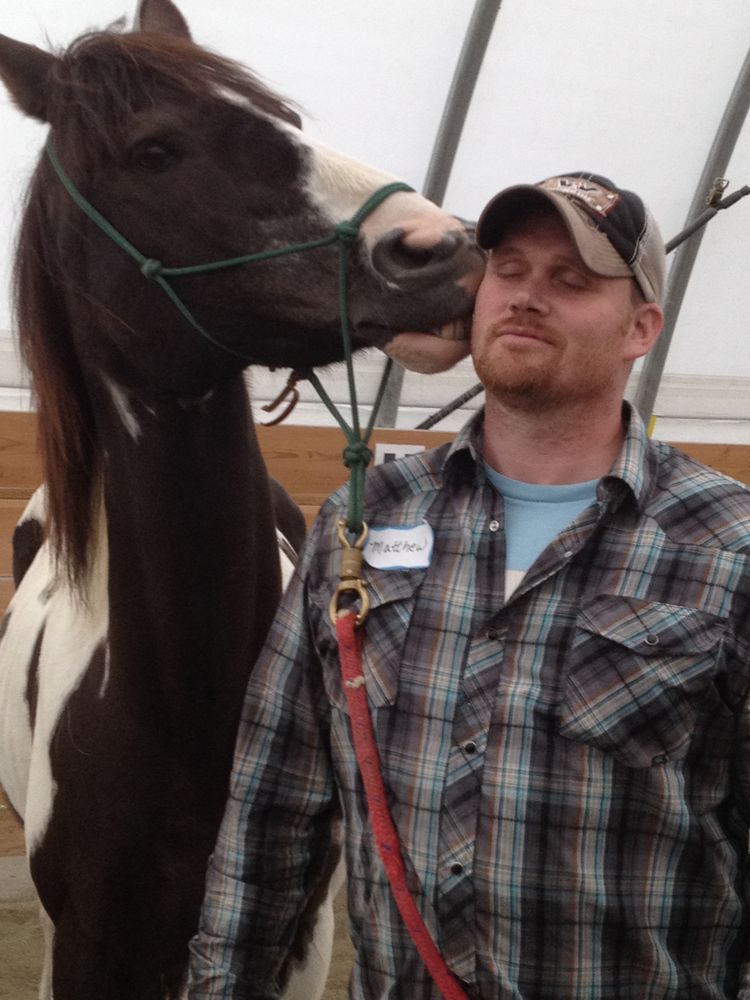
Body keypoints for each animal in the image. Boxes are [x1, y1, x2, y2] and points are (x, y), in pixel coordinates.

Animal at [0, 0, 481, 997]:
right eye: (152, 151)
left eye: (286, 120)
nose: (443, 248)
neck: (174, 715)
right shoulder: (87, 948)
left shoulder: (294, 940)